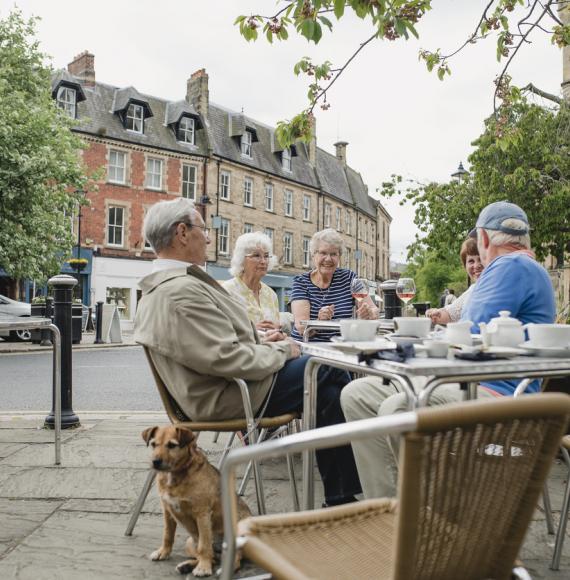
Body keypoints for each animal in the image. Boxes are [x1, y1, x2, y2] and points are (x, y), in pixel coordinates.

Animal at [141, 424, 250, 576]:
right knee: (212, 558)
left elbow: (204, 546)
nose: (155, 462)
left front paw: (203, 568)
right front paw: (163, 552)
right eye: (153, 444)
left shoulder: (202, 514)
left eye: (172, 445)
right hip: (189, 542)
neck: (174, 475)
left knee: (234, 559)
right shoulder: (167, 510)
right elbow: (168, 534)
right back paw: (186, 566)